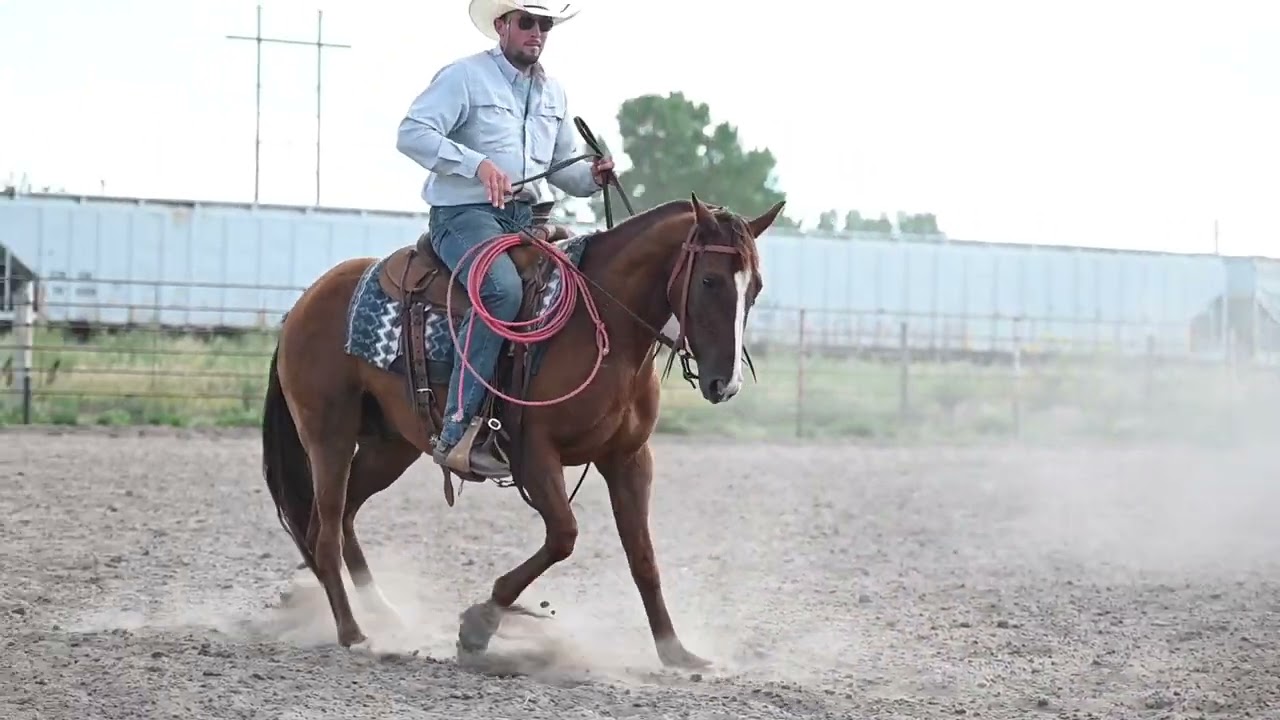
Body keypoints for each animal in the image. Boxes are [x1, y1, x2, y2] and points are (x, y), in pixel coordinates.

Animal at [260, 186, 785, 669]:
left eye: (756, 286)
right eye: (710, 280)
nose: (725, 383)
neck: (605, 328)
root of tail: (306, 302)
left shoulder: (629, 458)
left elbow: (643, 557)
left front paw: (675, 651)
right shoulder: (535, 453)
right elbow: (564, 536)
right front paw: (480, 624)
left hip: (389, 446)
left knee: (341, 518)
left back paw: (385, 615)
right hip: (328, 433)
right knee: (325, 529)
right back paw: (353, 632)